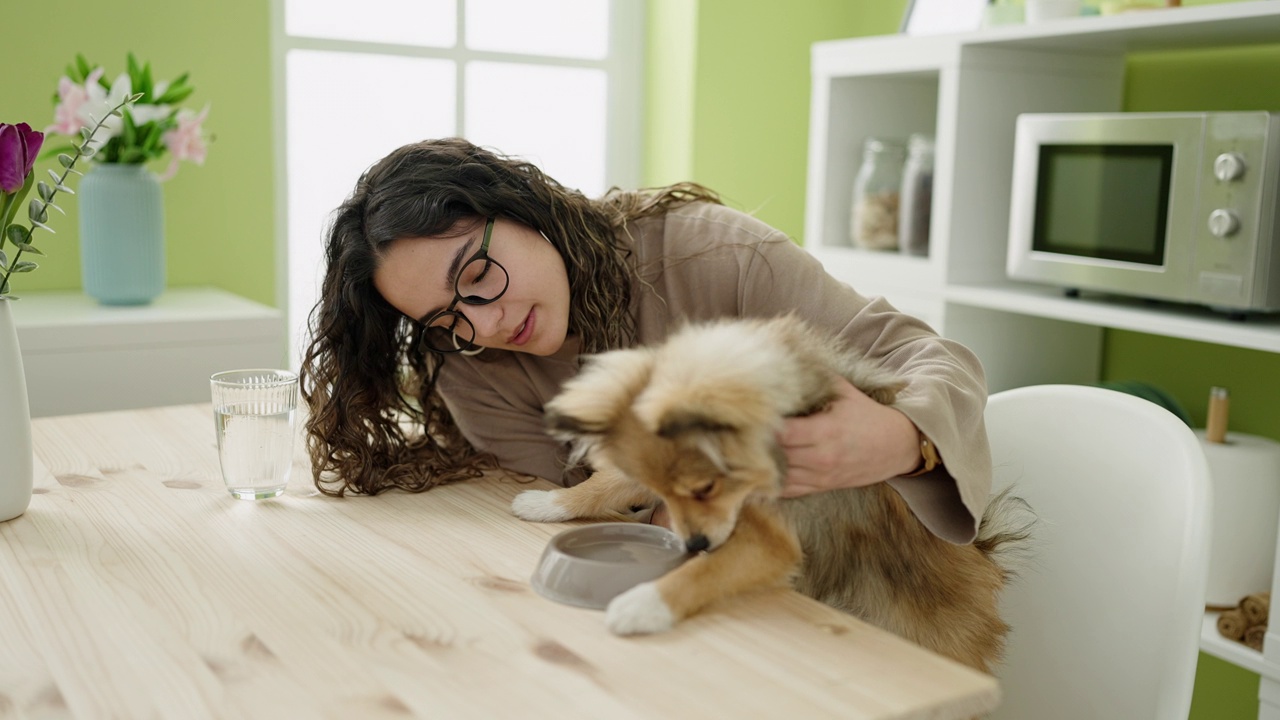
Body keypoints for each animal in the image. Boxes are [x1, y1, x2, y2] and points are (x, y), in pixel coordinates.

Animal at [509, 315, 1029, 671]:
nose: (693, 543)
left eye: (707, 487)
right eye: (669, 494)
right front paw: (545, 503)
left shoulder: (772, 540)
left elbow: (704, 573)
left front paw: (643, 604)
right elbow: (609, 483)